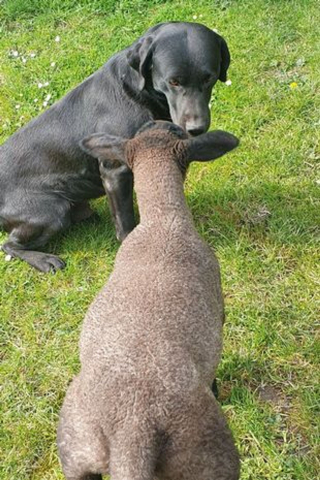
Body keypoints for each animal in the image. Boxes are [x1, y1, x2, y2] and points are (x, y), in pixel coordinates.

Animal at [0, 22, 230, 272]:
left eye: (209, 78)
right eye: (173, 82)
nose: (197, 128)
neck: (138, 93)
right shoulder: (115, 170)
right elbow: (125, 219)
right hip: (51, 211)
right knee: (9, 245)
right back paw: (45, 260)